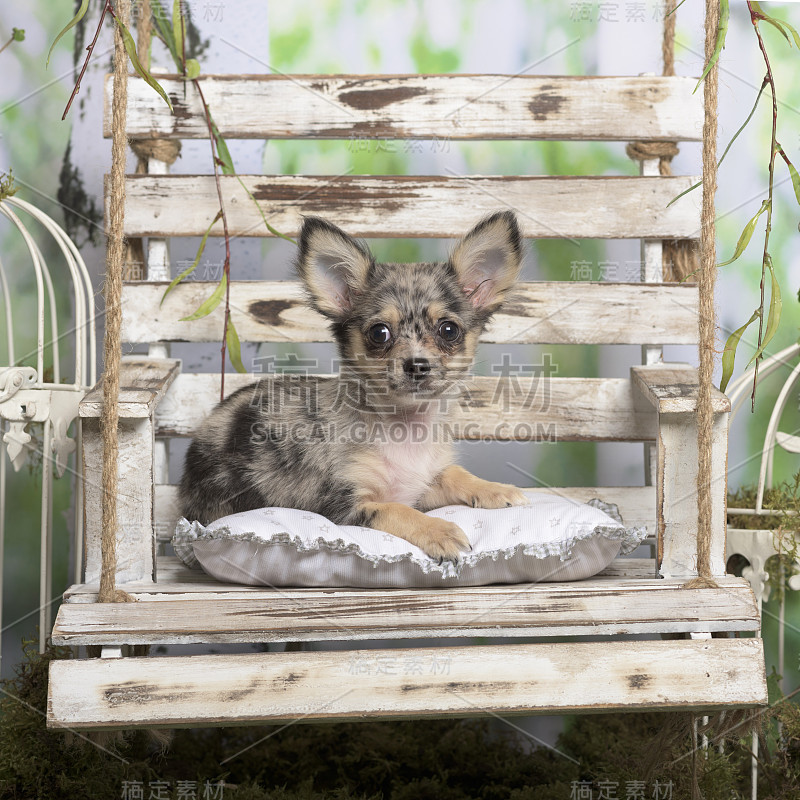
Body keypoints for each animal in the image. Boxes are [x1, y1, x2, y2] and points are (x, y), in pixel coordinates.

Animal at [182, 212, 532, 564]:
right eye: (379, 333)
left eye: (449, 330)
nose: (417, 365)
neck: (405, 428)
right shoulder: (345, 505)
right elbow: (397, 511)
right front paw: (440, 531)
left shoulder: (418, 487)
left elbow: (452, 472)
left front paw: (494, 488)